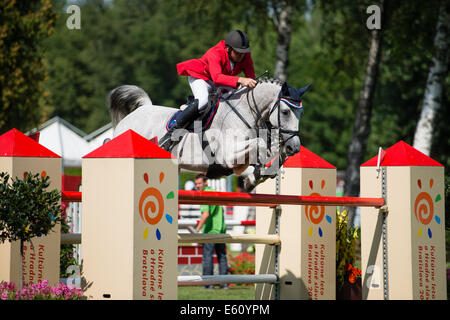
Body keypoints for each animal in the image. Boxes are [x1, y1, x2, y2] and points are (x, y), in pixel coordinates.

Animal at [108, 77, 310, 190]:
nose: (294, 148)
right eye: (285, 112)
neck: (245, 112)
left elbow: (267, 153)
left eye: (301, 113)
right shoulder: (227, 156)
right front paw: (258, 172)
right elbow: (259, 145)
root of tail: (137, 112)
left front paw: (258, 175)